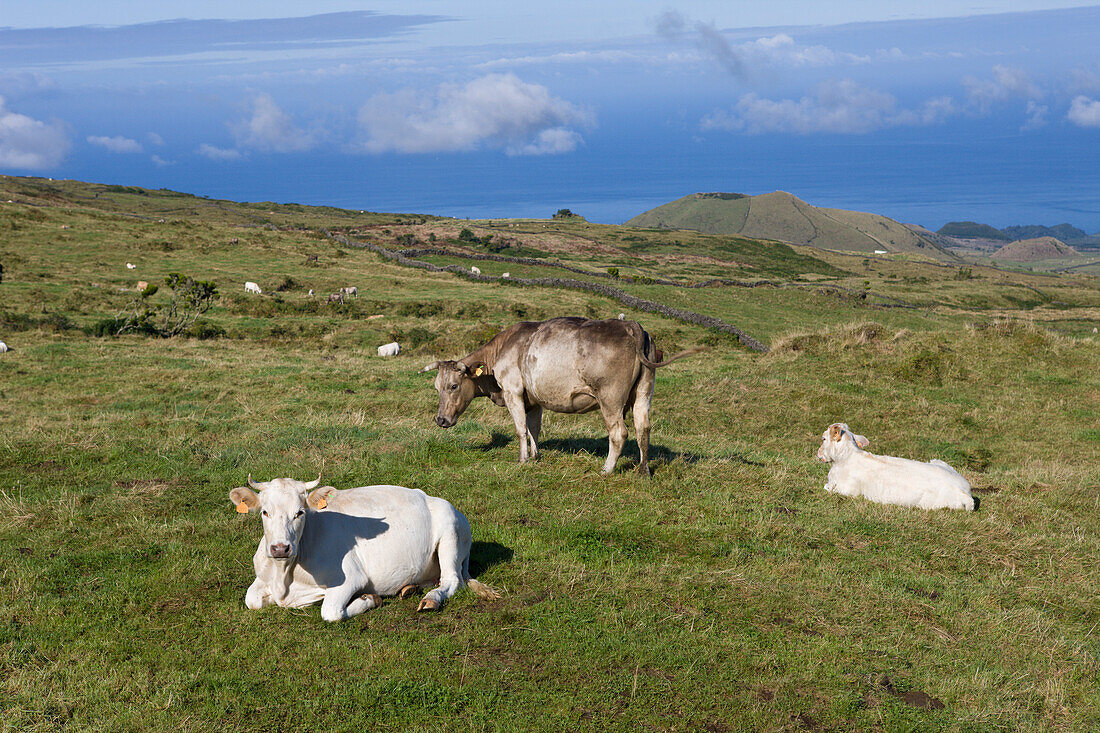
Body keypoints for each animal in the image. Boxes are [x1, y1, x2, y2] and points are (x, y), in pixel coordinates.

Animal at [229, 471, 501, 620]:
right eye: (265, 512)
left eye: (300, 512)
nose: (280, 548)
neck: (284, 575)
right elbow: (251, 599)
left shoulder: (351, 578)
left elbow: (331, 611)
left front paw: (370, 599)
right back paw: (409, 588)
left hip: (450, 535)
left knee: (452, 580)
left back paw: (431, 598)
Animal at [420, 314, 695, 473]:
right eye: (436, 387)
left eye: (453, 386)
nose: (440, 419)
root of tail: (631, 325)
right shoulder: (534, 399)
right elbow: (534, 428)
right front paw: (536, 455)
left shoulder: (512, 391)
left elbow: (520, 429)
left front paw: (522, 460)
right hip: (643, 392)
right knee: (643, 428)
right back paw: (643, 470)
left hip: (610, 398)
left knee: (619, 433)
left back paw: (607, 469)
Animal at [814, 422, 976, 508]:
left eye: (823, 438)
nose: (818, 454)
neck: (846, 457)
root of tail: (964, 492)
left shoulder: (846, 489)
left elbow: (826, 487)